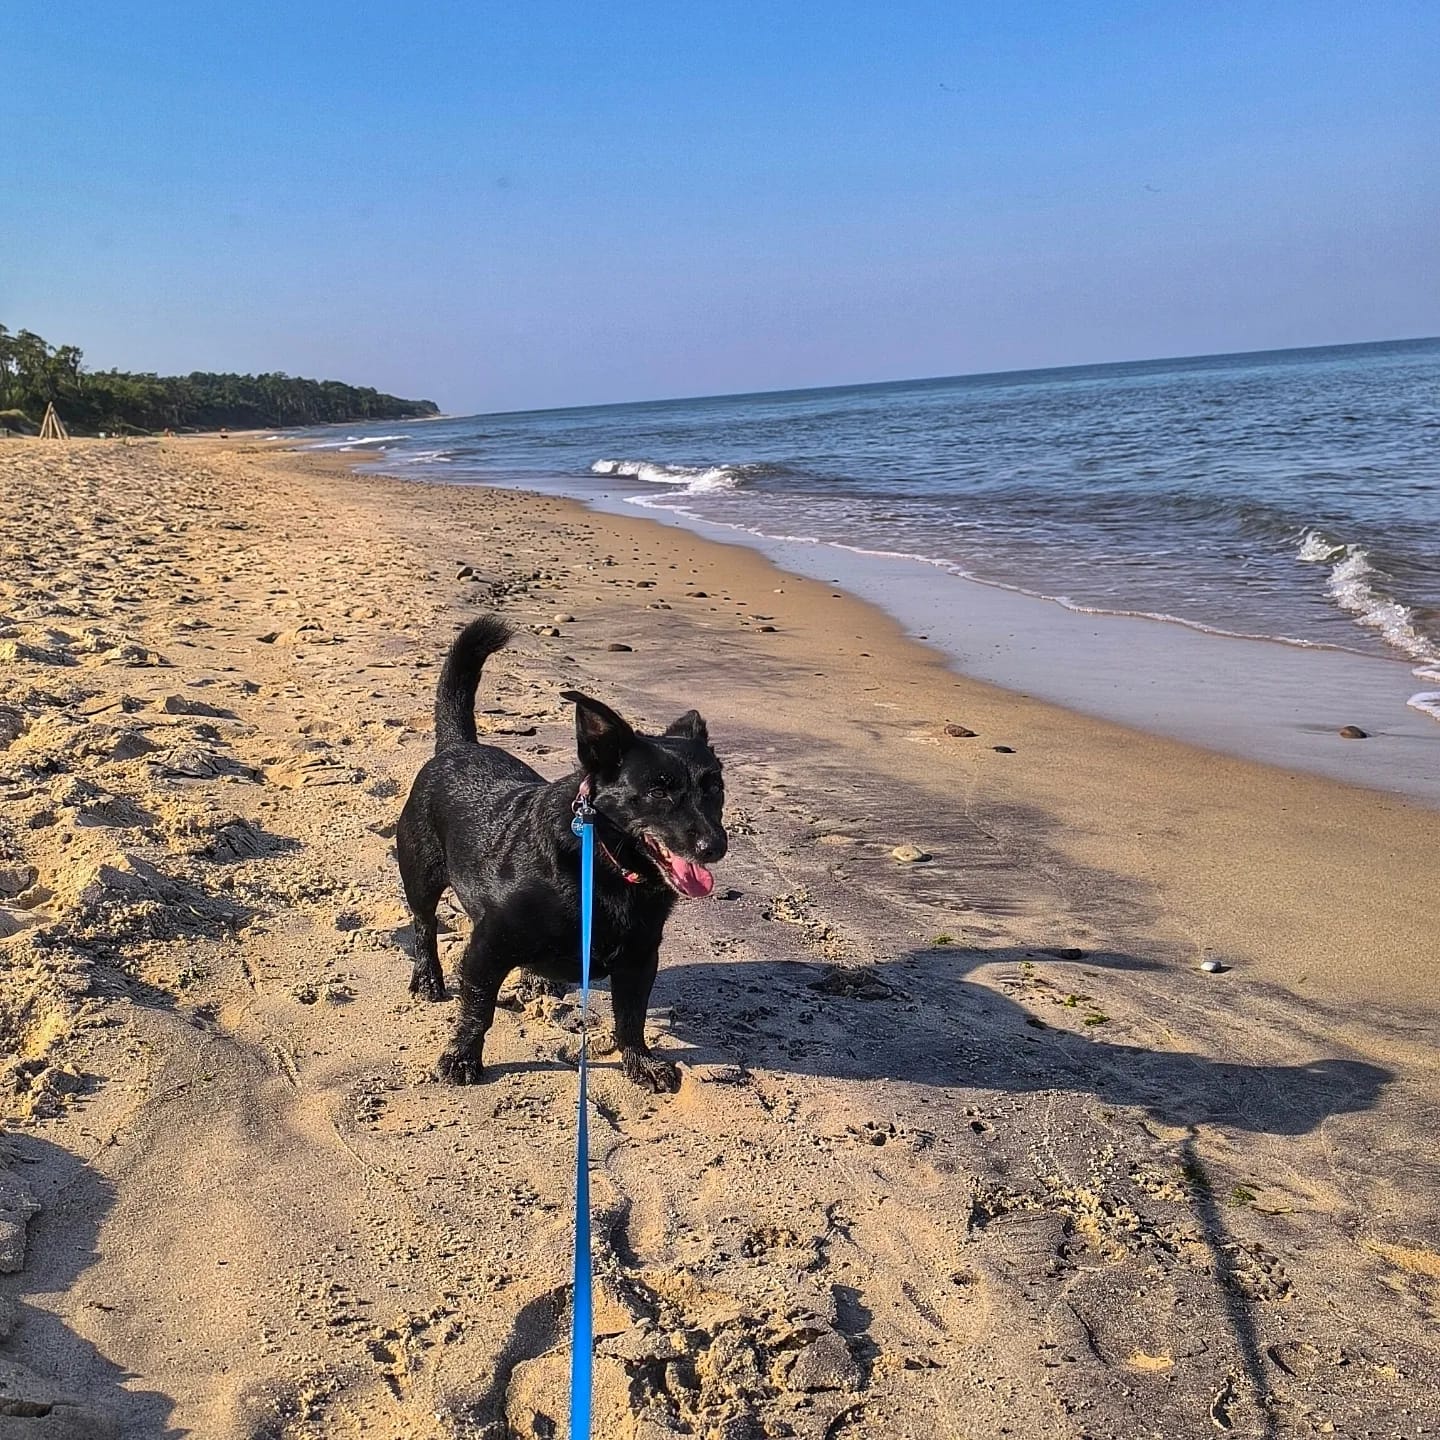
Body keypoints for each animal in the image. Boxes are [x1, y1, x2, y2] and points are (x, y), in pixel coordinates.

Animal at [396, 616, 727, 1092]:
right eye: (658, 791)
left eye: (714, 787)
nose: (714, 846)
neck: (603, 864)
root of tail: (458, 746)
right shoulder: (486, 948)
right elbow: (477, 1010)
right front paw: (461, 1058)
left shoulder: (640, 959)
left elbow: (631, 1019)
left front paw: (641, 1063)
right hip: (420, 873)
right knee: (423, 925)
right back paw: (427, 977)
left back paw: (537, 978)